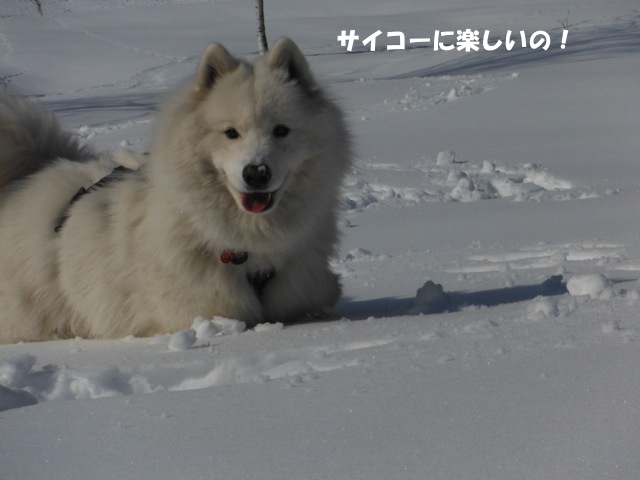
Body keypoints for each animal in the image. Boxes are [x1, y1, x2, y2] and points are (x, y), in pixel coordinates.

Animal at [0, 38, 350, 344]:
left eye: (281, 130)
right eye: (231, 133)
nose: (256, 173)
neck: (244, 246)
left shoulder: (305, 291)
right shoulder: (199, 309)